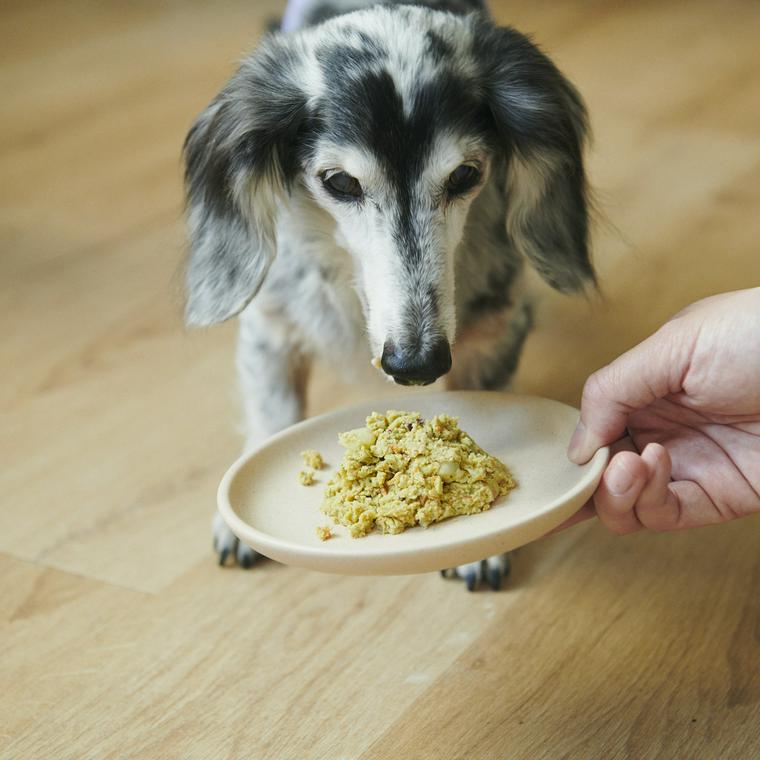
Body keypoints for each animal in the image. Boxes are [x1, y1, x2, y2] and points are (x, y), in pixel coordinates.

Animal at [183, 0, 592, 588]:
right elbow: (272, 410)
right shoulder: (272, 324)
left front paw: (483, 549)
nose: (417, 365)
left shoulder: (494, 326)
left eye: (466, 175)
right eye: (340, 183)